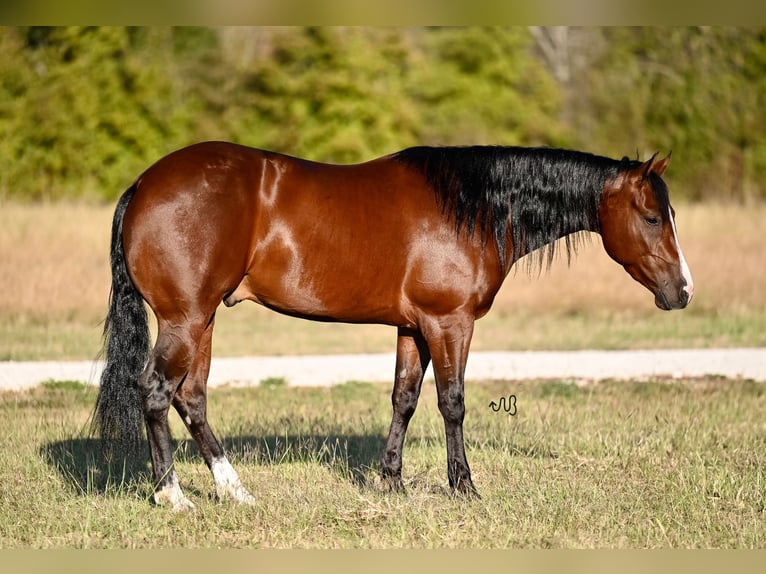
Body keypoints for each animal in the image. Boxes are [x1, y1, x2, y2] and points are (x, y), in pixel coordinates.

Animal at [94, 142, 696, 510]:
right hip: (185, 319)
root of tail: (144, 183)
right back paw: (172, 495)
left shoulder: (413, 328)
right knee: (157, 390)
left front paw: (391, 481)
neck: (470, 208)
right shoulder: (449, 323)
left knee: (190, 396)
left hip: (204, 319)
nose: (683, 291)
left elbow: (404, 399)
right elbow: (452, 402)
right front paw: (464, 486)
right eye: (651, 217)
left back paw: (234, 489)